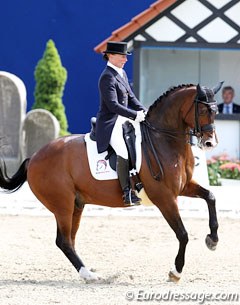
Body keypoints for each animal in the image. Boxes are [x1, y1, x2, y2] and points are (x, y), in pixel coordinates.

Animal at [0, 82, 222, 280]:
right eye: (203, 110)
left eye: (216, 111)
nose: (209, 143)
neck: (163, 140)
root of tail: (33, 158)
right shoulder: (164, 197)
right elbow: (183, 234)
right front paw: (176, 271)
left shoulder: (183, 187)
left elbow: (211, 196)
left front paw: (212, 240)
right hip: (62, 205)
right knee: (63, 241)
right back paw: (88, 275)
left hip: (76, 204)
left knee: (70, 239)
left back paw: (88, 273)